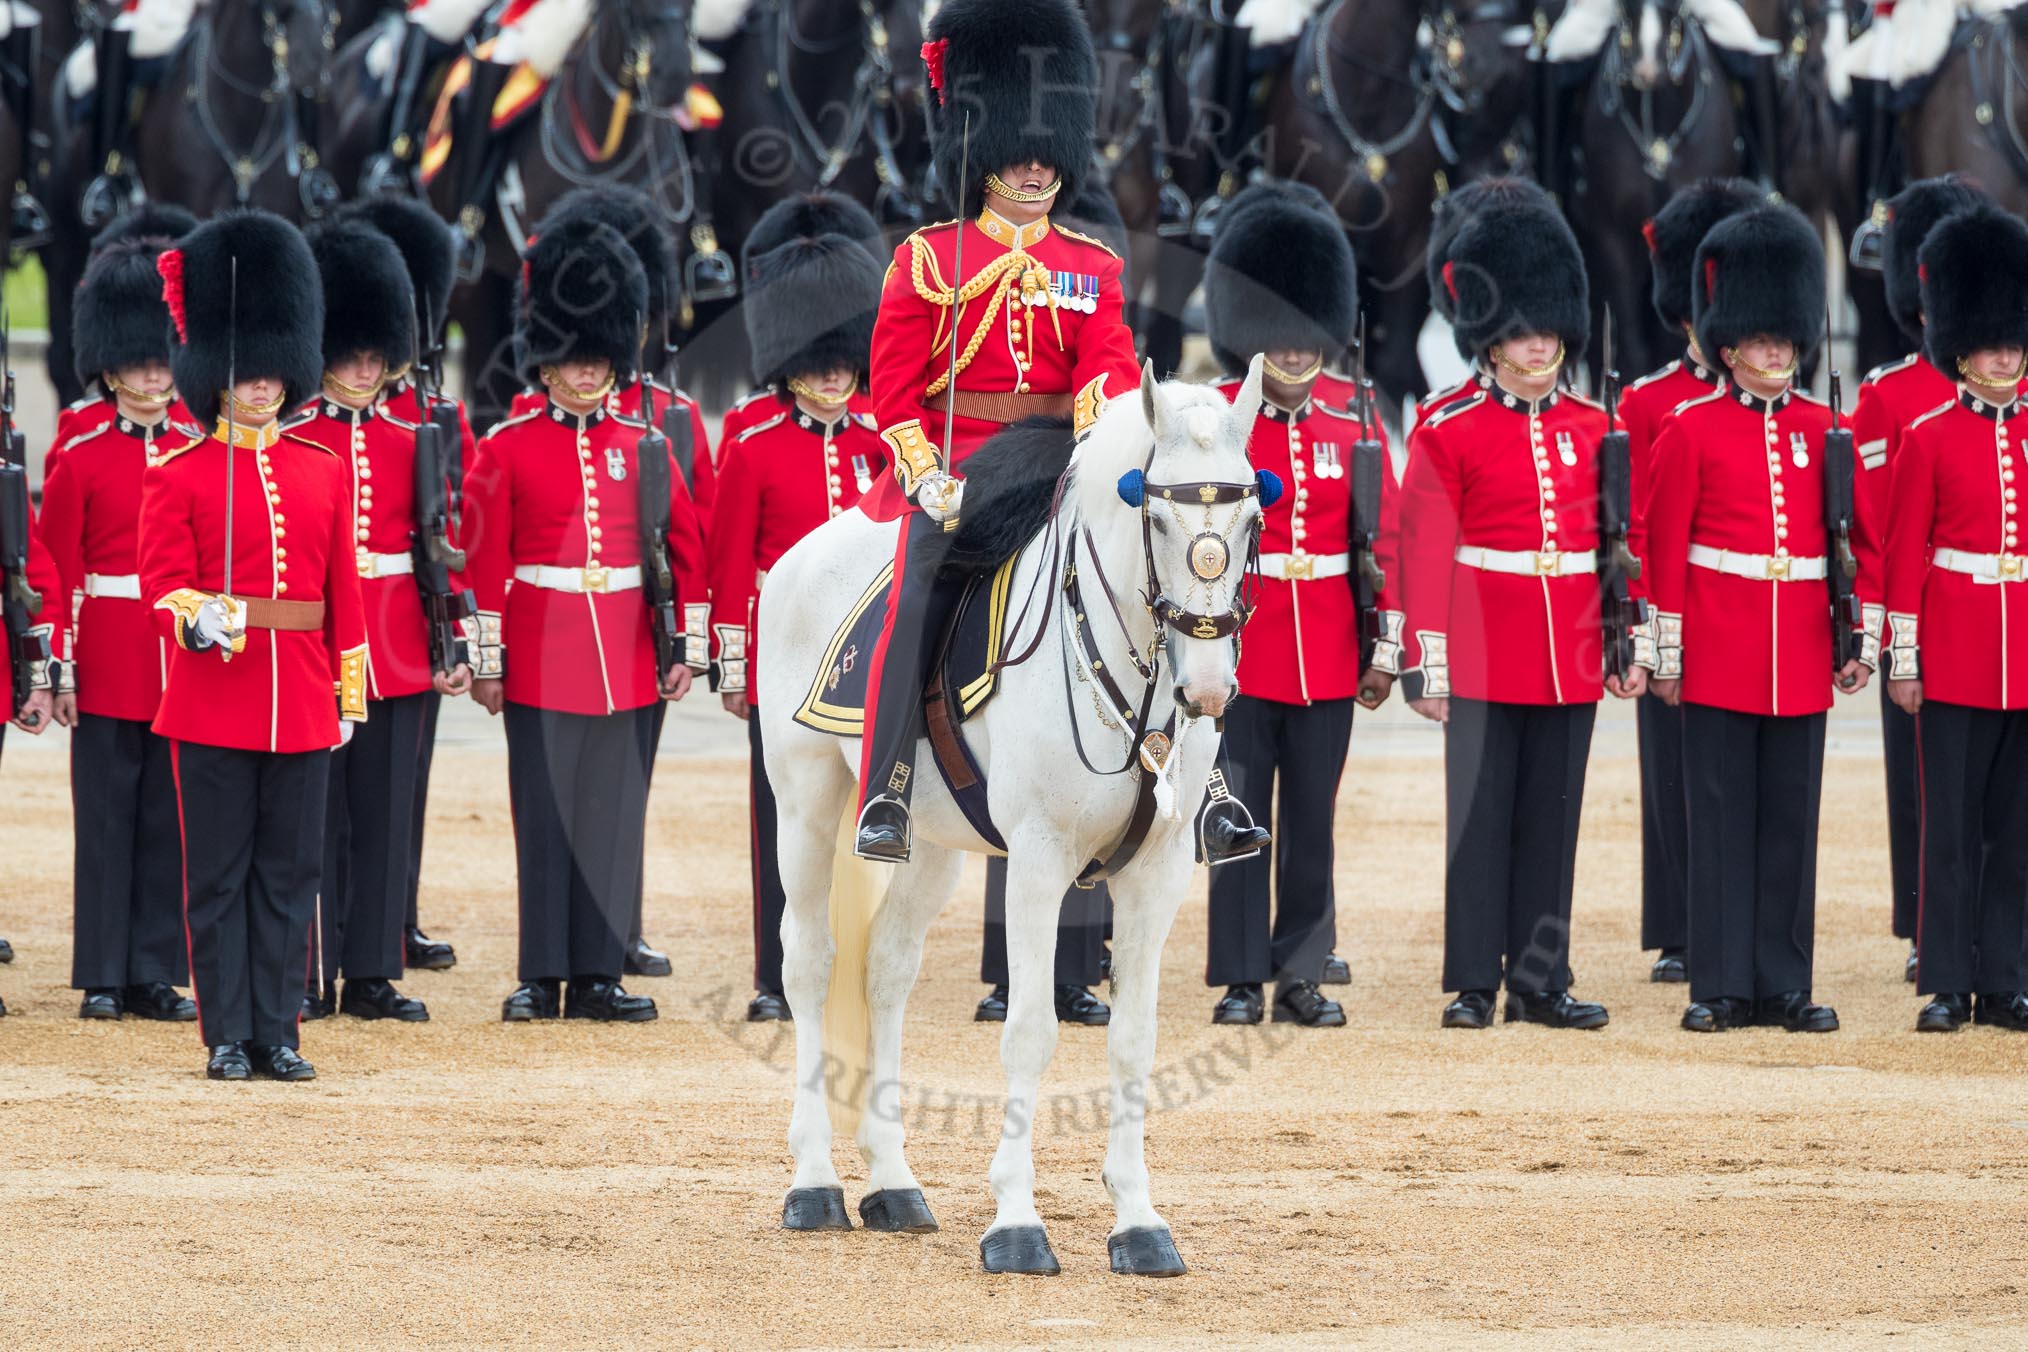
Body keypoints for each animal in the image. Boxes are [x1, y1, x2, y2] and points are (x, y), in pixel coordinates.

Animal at [758, 356, 1265, 1272]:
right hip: (805, 803)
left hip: (930, 845)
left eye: (1250, 516)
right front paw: (1017, 1224)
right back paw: (814, 1181)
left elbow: (1133, 1039)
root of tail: (803, 555)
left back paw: (893, 1182)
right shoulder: (1037, 861)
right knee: (809, 964)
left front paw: (1139, 1222)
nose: (1207, 687)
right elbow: (1030, 1030)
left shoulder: (1159, 873)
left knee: (885, 968)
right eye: (1155, 514)